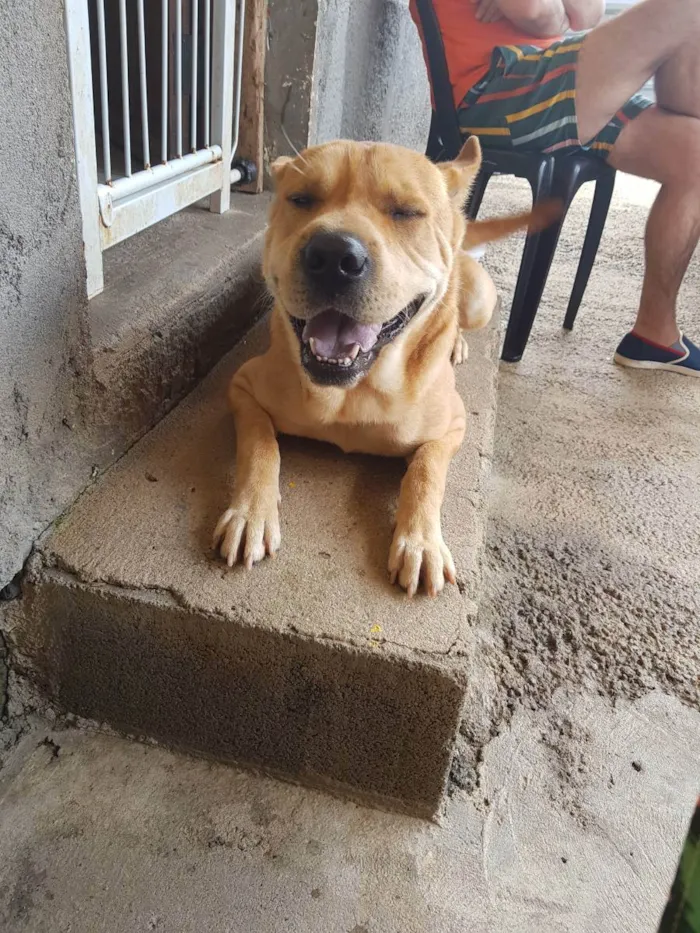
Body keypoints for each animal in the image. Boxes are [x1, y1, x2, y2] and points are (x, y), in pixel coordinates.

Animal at [213, 138, 556, 596]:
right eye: (301, 199)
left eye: (407, 212)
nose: (333, 255)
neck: (353, 390)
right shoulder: (244, 387)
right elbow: (259, 445)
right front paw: (250, 512)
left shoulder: (452, 426)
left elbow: (426, 473)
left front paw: (422, 542)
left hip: (480, 301)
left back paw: (458, 341)